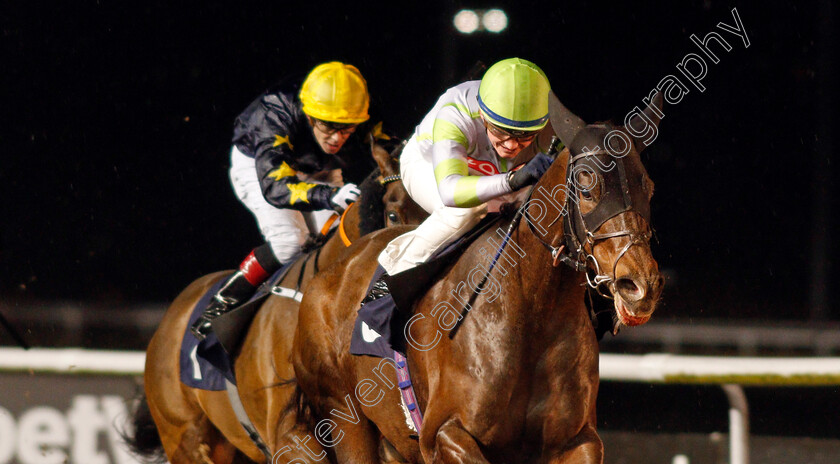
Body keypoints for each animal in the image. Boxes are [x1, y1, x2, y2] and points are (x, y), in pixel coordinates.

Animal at [292, 94, 668, 464]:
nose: (640, 285)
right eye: (588, 191)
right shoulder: (444, 433)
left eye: (648, 189)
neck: (533, 312)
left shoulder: (578, 440)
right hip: (346, 421)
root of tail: (327, 275)